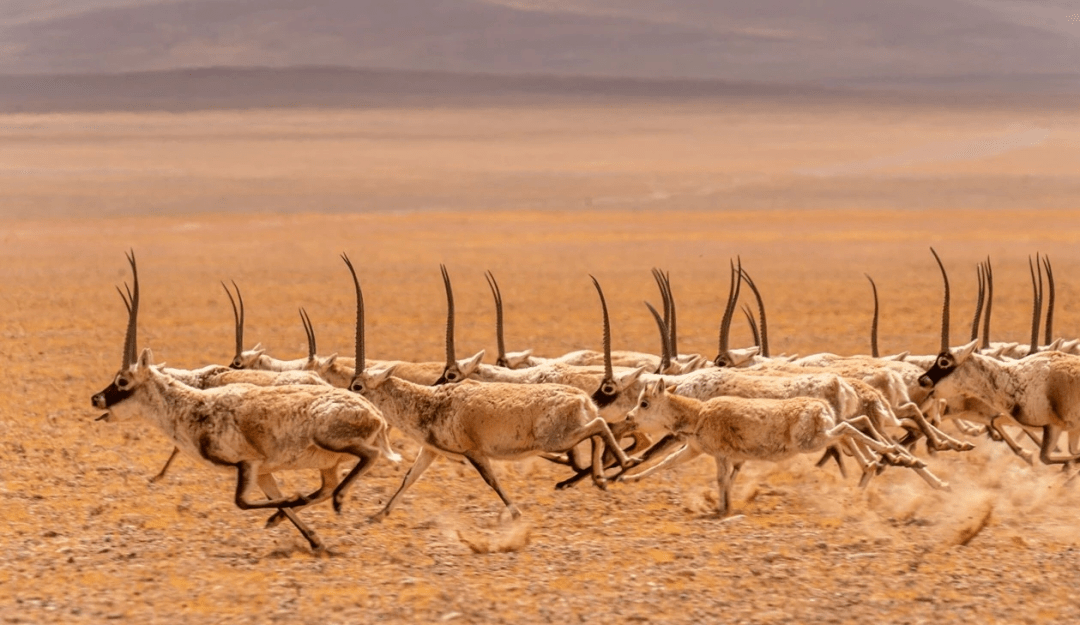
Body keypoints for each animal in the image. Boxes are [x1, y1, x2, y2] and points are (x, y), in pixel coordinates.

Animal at [91, 251, 397, 550]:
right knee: (328, 486)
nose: (96, 399)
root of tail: (375, 416)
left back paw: (339, 500)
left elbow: (242, 502)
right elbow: (274, 499)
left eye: (123, 381)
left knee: (369, 457)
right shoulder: (261, 472)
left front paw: (293, 503)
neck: (193, 403)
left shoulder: (247, 463)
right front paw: (314, 540)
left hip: (328, 439)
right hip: (328, 463)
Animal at [339, 254, 639, 522]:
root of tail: (582, 398)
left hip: (557, 439)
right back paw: (601, 478)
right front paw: (378, 515)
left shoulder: (473, 451)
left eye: (357, 385)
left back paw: (624, 463)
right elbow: (408, 478)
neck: (430, 402)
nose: (344, 401)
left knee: (599, 425)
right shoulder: (431, 451)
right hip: (565, 437)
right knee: (598, 431)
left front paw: (516, 512)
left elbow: (490, 480)